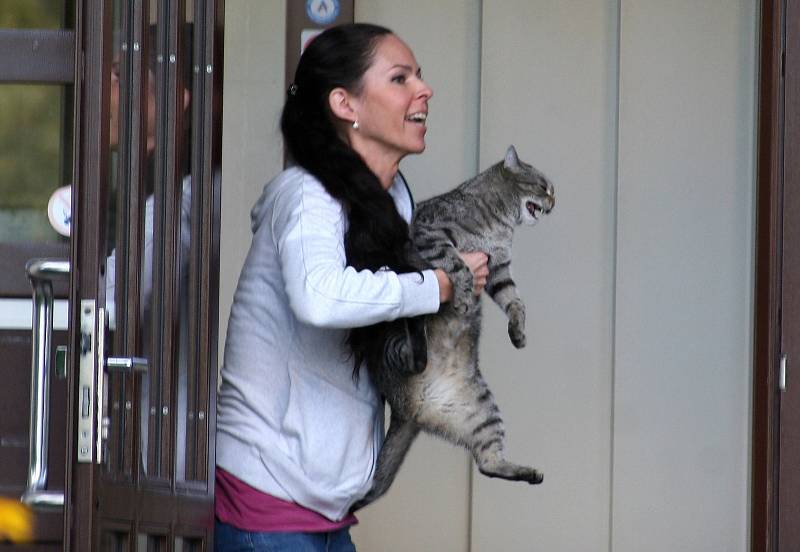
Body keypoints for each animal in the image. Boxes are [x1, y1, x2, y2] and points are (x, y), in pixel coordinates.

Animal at [354, 146, 552, 508]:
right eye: (544, 186)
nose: (555, 200)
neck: (501, 225)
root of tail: (408, 412)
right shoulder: (432, 235)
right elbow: (457, 265)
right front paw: (462, 296)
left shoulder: (499, 270)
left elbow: (515, 301)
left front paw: (518, 332)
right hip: (390, 340)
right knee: (412, 355)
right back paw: (418, 329)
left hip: (484, 412)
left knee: (487, 463)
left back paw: (527, 473)